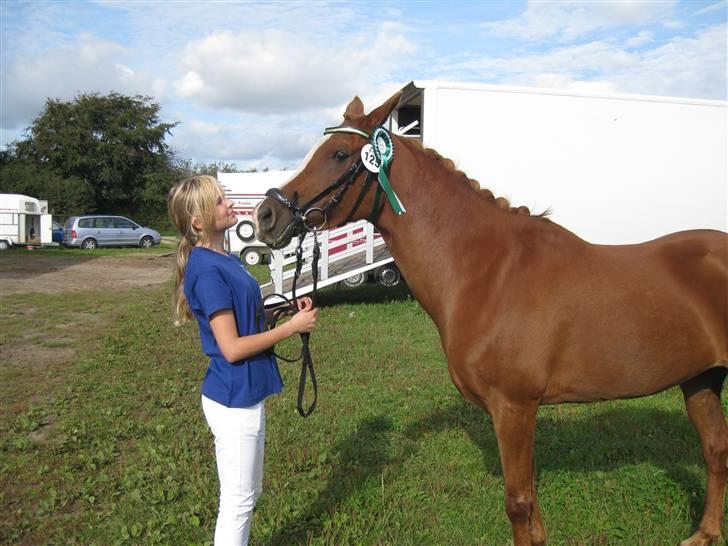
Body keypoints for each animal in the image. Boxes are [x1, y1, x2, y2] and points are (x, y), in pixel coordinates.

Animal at [255, 91, 728, 540]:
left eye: (338, 154)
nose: (266, 215)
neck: (488, 271)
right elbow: (532, 510)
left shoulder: (514, 408)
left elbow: (518, 505)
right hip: (701, 381)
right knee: (715, 452)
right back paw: (704, 533)